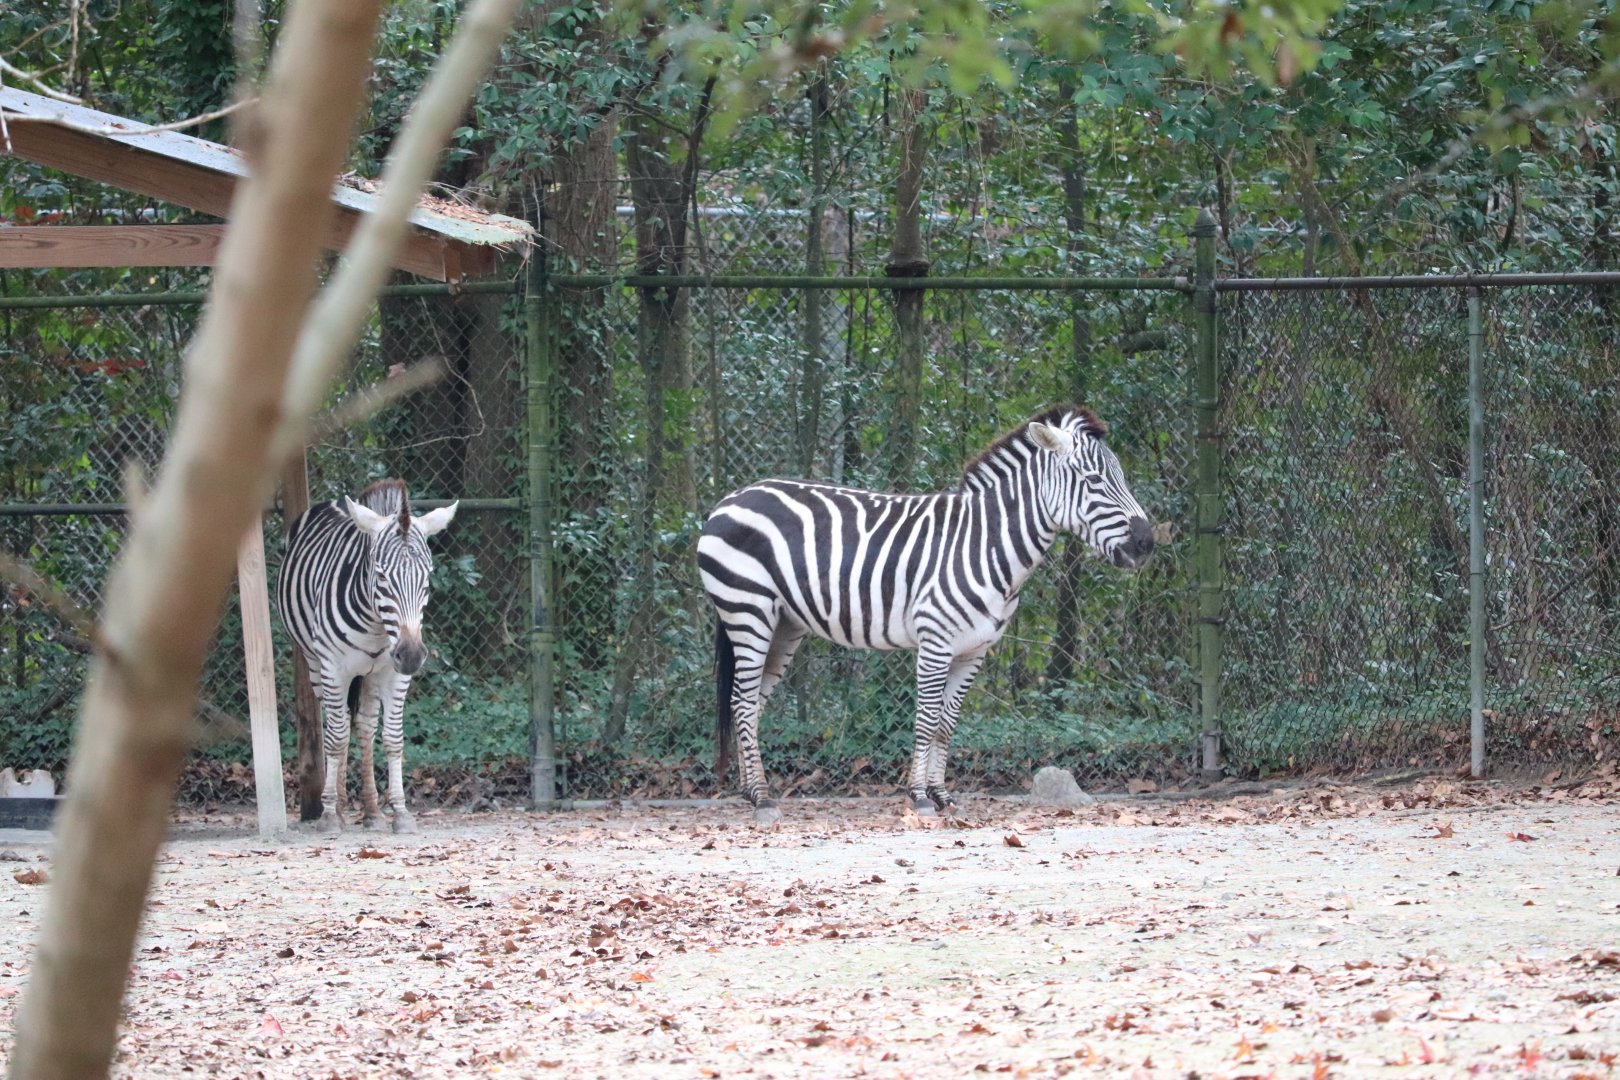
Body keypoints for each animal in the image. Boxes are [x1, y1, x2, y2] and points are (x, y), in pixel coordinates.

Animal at [277, 478, 457, 833]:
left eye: (426, 576)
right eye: (382, 575)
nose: (411, 655)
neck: (377, 626)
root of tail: (332, 502)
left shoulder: (394, 673)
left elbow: (392, 737)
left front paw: (400, 812)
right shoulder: (334, 668)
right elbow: (335, 738)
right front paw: (329, 814)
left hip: (371, 674)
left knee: (363, 727)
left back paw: (372, 812)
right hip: (316, 665)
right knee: (337, 726)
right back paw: (339, 806)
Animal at [698, 404, 1155, 825]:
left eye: (1121, 477)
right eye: (1093, 481)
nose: (1147, 543)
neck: (986, 544)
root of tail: (732, 497)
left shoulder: (974, 651)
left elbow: (947, 722)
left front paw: (942, 795)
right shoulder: (936, 641)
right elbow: (927, 717)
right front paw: (918, 796)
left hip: (784, 625)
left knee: (751, 702)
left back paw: (750, 791)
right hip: (748, 610)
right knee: (742, 701)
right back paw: (761, 799)